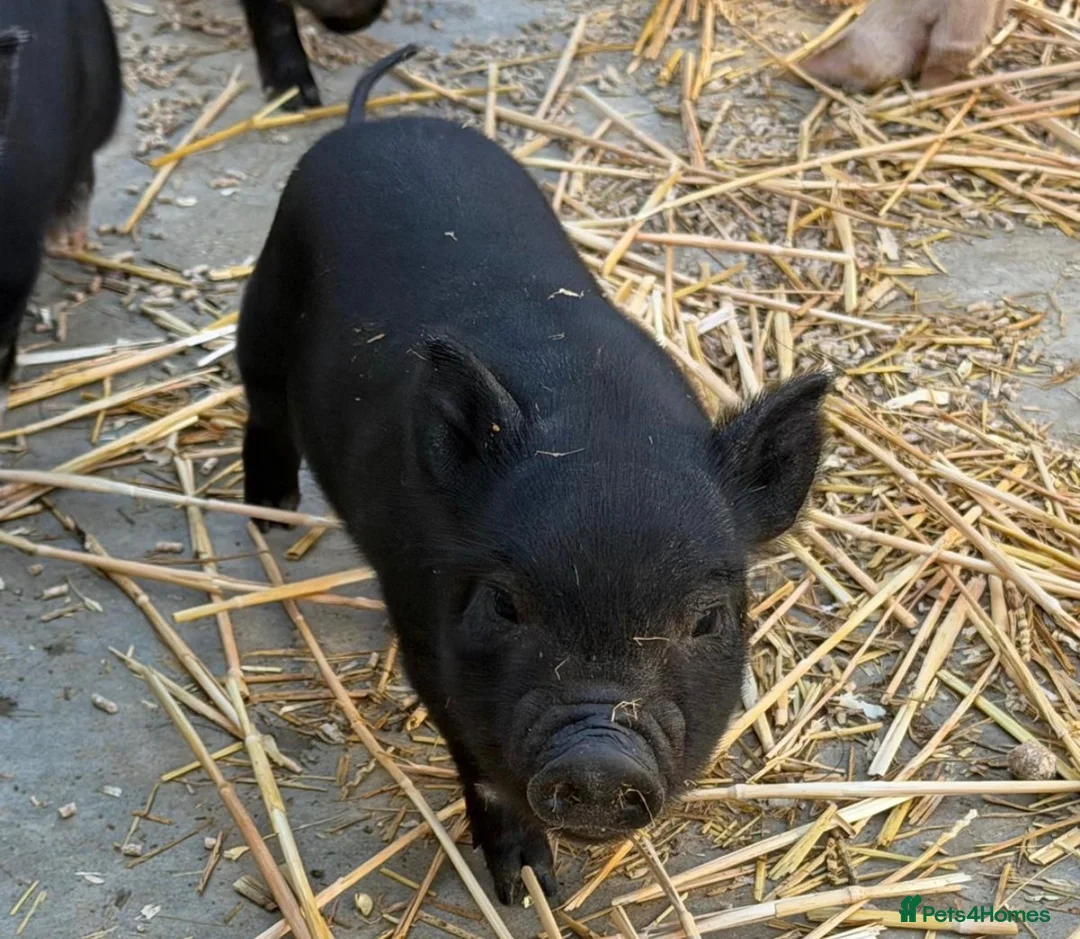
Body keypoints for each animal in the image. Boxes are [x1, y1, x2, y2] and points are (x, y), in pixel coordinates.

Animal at [238, 44, 830, 904]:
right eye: (504, 604)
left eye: (709, 619)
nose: (599, 757)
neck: (602, 431)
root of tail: (369, 125)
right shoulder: (425, 634)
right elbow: (477, 762)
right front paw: (526, 887)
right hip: (265, 294)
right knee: (260, 399)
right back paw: (270, 512)